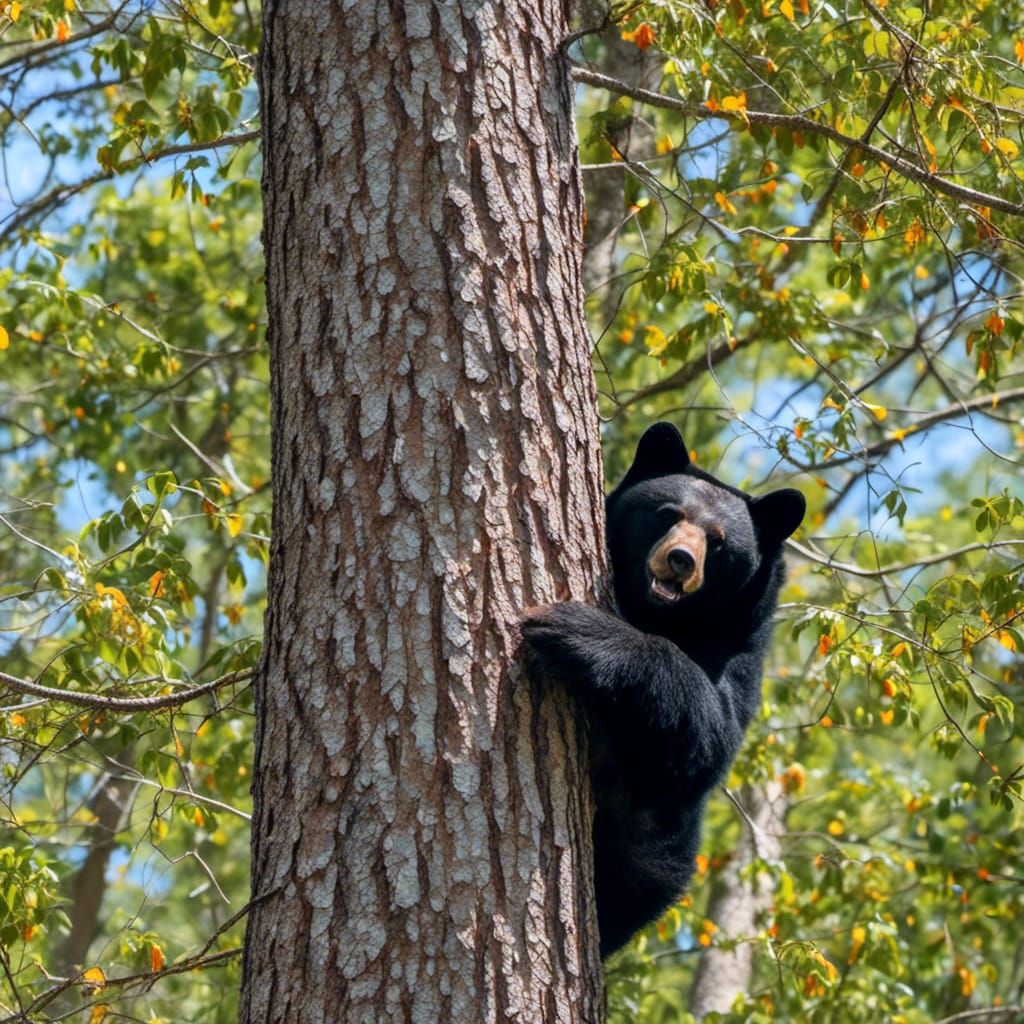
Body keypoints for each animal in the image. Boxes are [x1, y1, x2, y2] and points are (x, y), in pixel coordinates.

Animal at [520, 422, 805, 957]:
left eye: (718, 542)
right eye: (668, 513)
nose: (680, 560)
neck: (656, 614)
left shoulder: (740, 646)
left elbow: (709, 736)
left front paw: (576, 631)